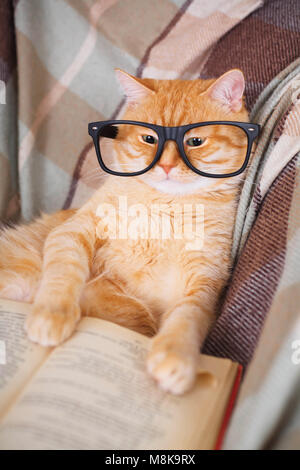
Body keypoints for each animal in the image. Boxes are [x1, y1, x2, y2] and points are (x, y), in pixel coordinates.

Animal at [0, 68, 248, 394]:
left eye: (195, 141)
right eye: (149, 138)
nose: (166, 166)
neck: (165, 210)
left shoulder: (206, 277)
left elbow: (187, 315)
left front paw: (175, 356)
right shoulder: (74, 230)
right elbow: (64, 272)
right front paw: (53, 313)